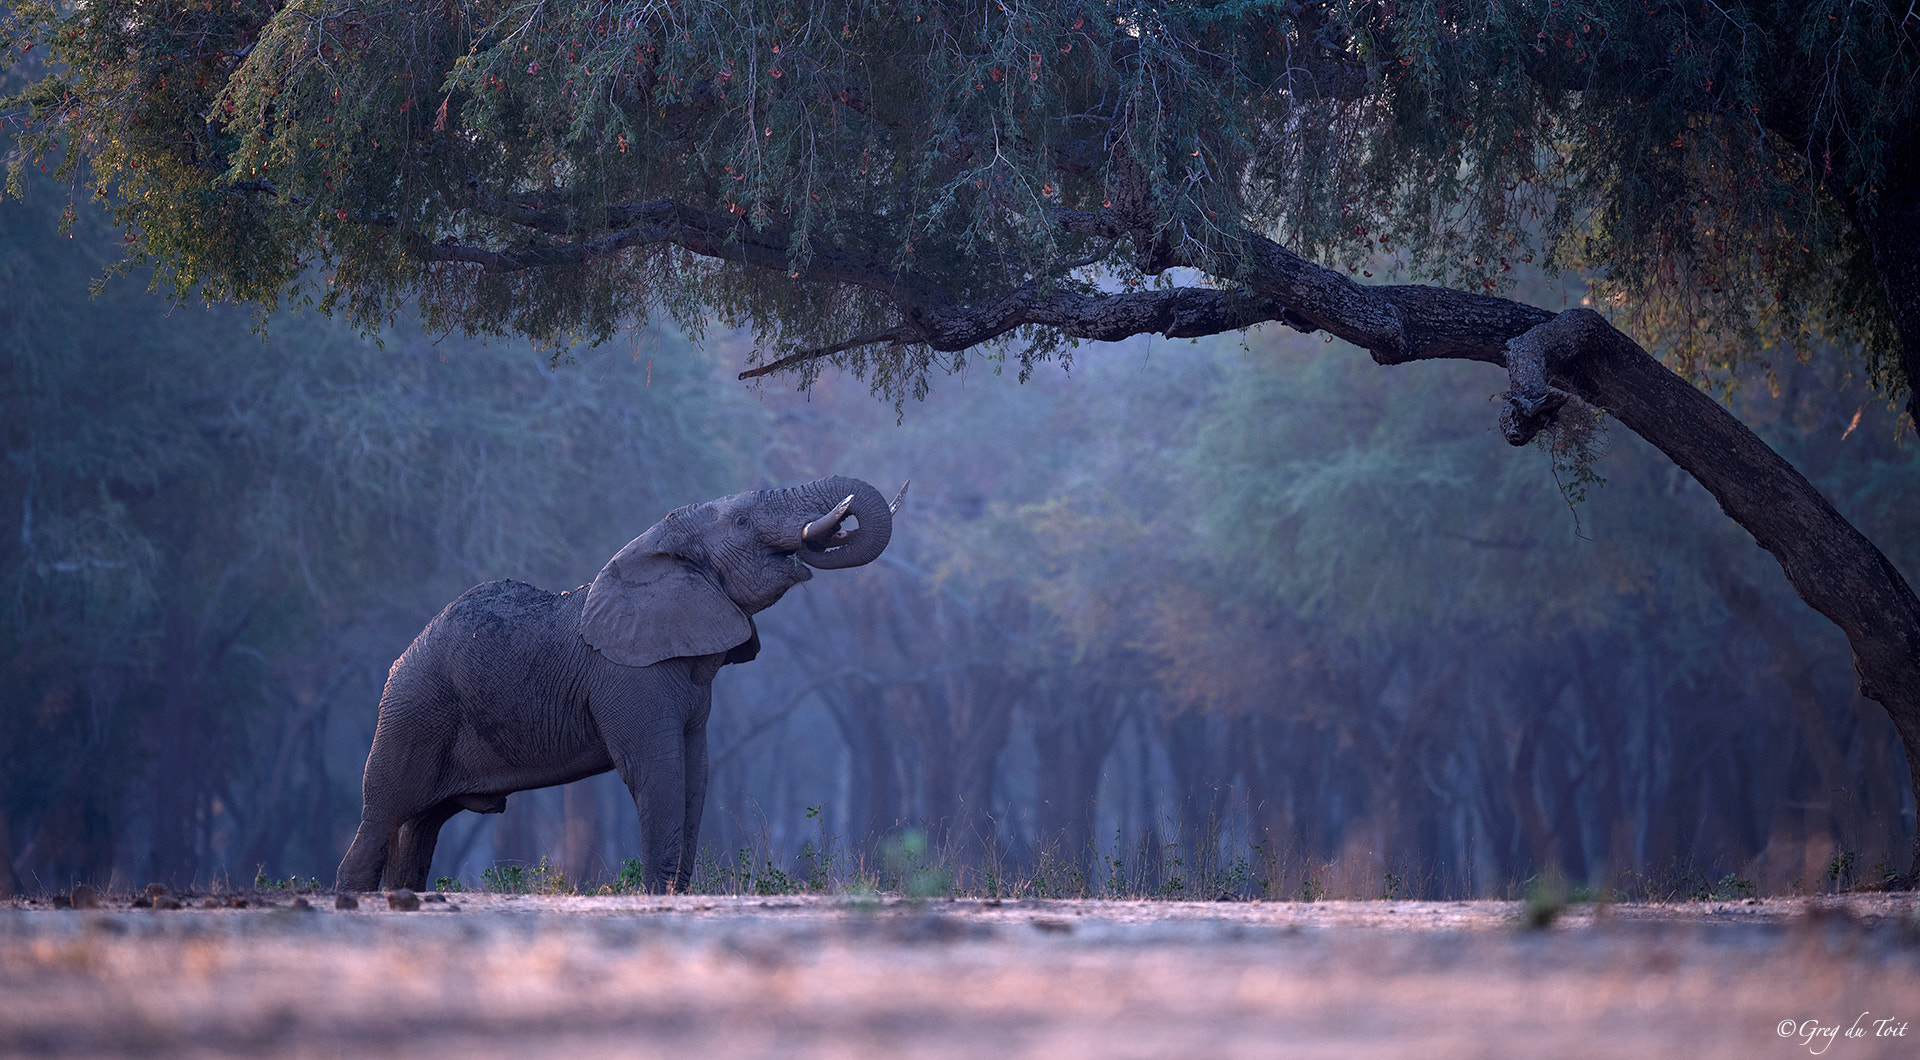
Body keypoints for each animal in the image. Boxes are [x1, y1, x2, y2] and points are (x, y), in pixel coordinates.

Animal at [334, 478, 894, 894]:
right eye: (740, 522)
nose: (825, 527)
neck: (654, 547)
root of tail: (401, 657)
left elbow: (696, 771)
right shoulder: (630, 677)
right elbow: (659, 771)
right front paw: (660, 896)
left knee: (421, 824)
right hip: (413, 709)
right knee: (384, 811)